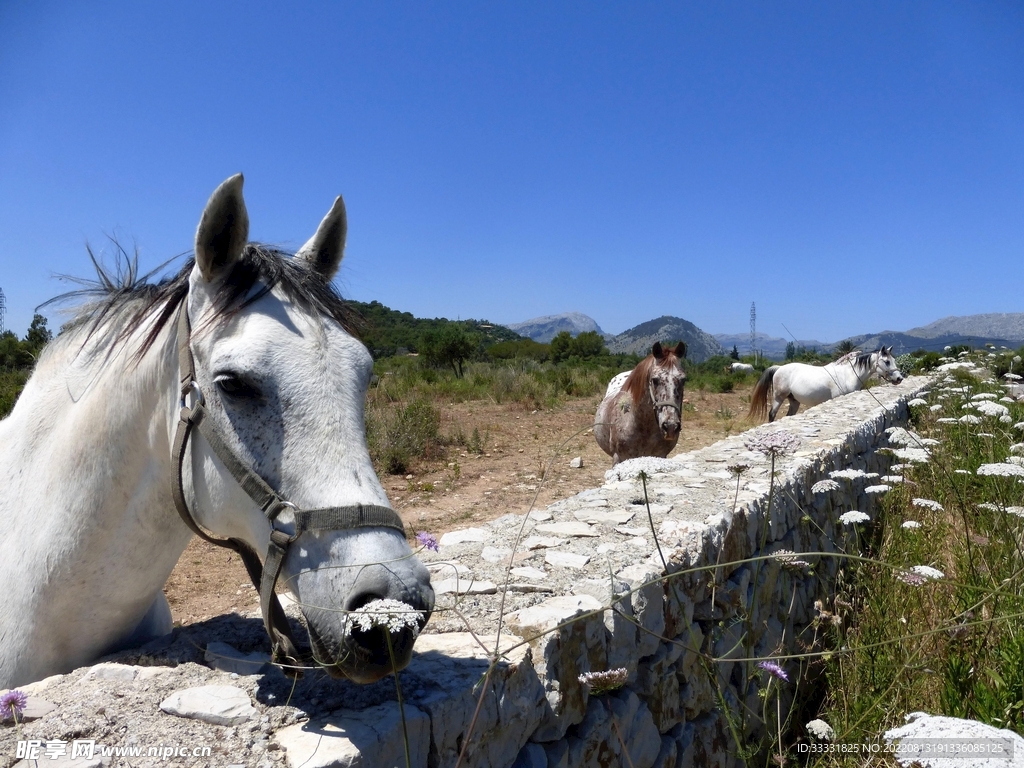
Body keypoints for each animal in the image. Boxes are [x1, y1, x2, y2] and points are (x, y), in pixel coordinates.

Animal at [747, 346, 905, 423]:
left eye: (894, 360)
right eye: (887, 362)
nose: (899, 378)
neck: (847, 375)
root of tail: (779, 368)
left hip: (794, 401)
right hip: (778, 398)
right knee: (772, 414)